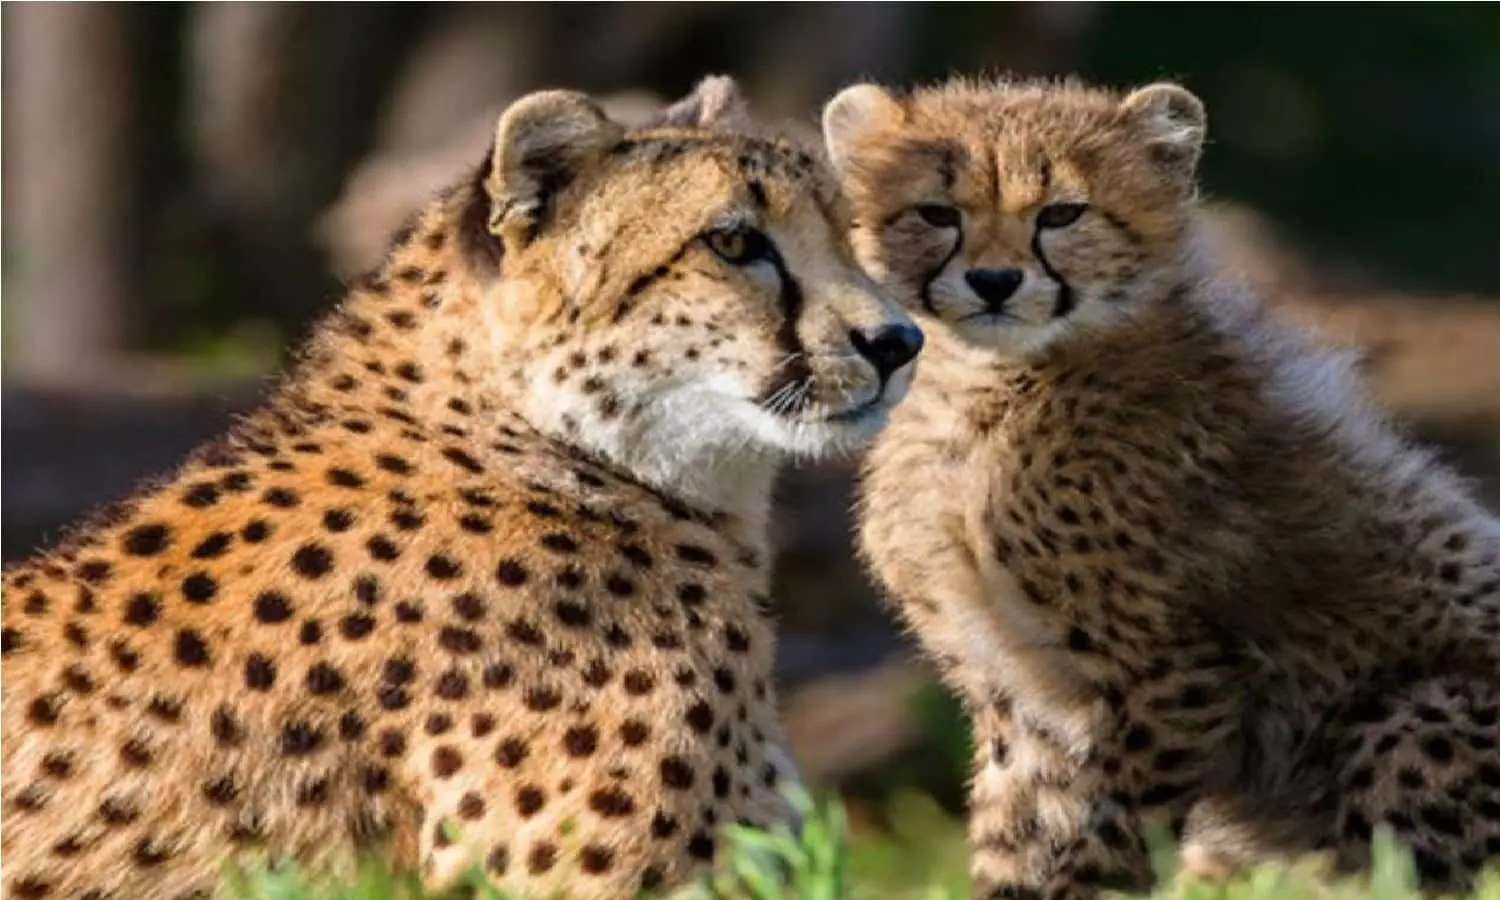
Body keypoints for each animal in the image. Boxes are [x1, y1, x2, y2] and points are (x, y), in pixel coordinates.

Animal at [820, 74, 1500, 898]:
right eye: (936, 213)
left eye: (1062, 213)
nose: (994, 280)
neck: (979, 388)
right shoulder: (1015, 694)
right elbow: (1019, 833)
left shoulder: (1168, 674)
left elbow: (1104, 833)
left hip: (1422, 711)